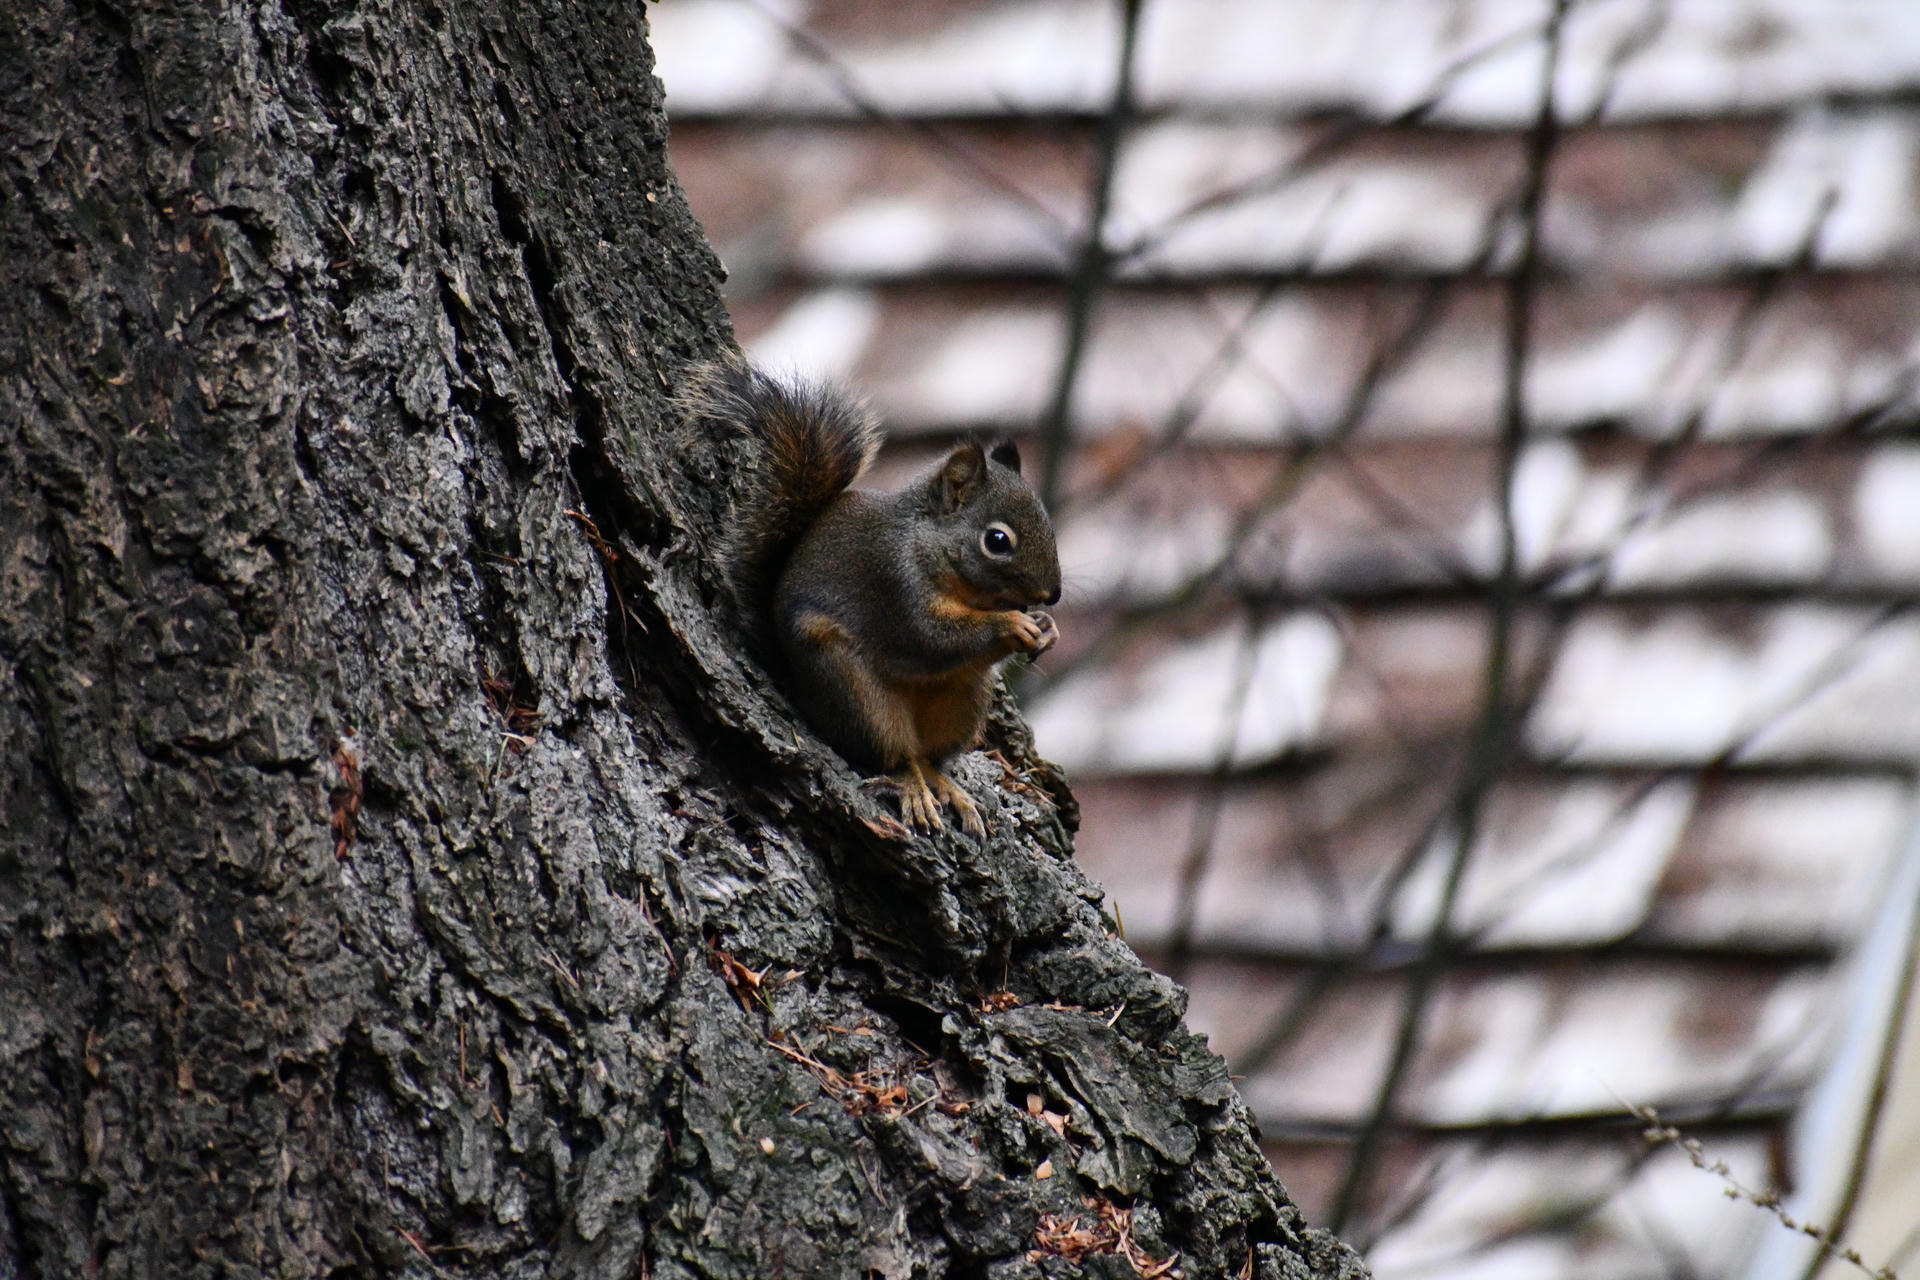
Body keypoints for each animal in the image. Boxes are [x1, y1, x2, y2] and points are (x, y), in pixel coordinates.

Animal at [685, 359, 1062, 838]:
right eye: (997, 540)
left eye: (1048, 523)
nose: (1053, 594)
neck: (928, 548)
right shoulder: (894, 585)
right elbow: (932, 637)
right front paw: (1013, 624)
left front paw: (1047, 629)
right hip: (855, 689)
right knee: (896, 755)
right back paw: (913, 788)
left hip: (965, 701)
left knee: (928, 756)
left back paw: (947, 787)